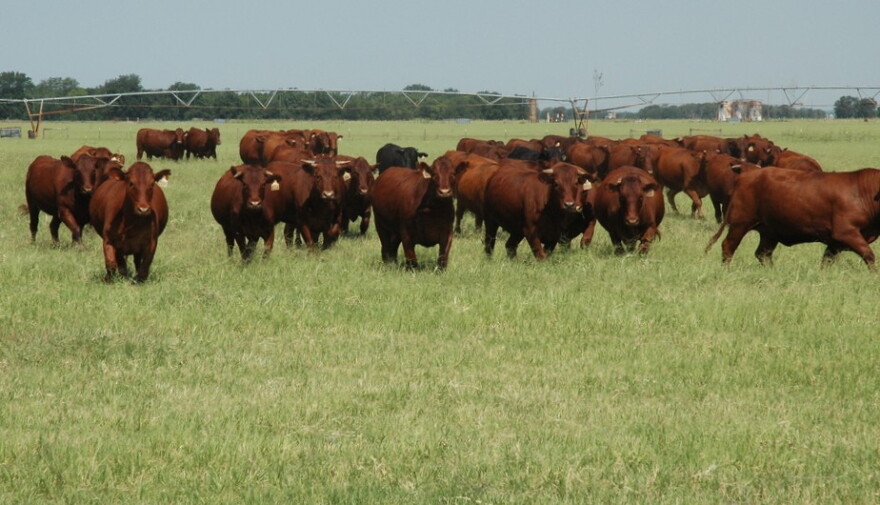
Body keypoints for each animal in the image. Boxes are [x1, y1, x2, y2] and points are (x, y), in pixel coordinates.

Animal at [705, 167, 880, 269]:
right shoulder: (846, 232)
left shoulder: (835, 242)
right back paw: (726, 270)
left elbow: (826, 261)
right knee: (728, 246)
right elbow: (869, 255)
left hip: (769, 232)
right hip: (740, 223)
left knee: (762, 253)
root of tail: (746, 174)